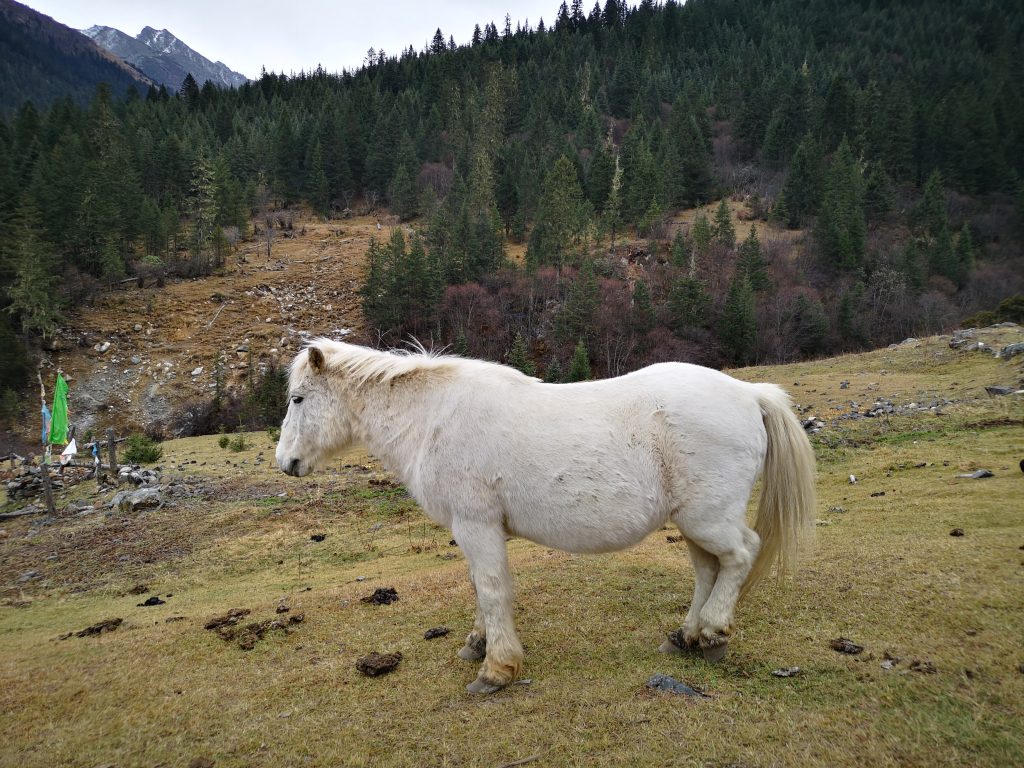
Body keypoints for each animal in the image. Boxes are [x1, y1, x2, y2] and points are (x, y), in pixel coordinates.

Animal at [274, 339, 815, 696]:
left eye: (298, 399)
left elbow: (492, 589)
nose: (286, 463)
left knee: (740, 555)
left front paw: (496, 670)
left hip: (708, 519)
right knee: (709, 569)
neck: (434, 419)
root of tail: (750, 394)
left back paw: (715, 632)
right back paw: (689, 637)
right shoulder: (475, 532)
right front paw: (477, 643)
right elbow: (480, 588)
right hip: (692, 523)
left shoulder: (476, 526)